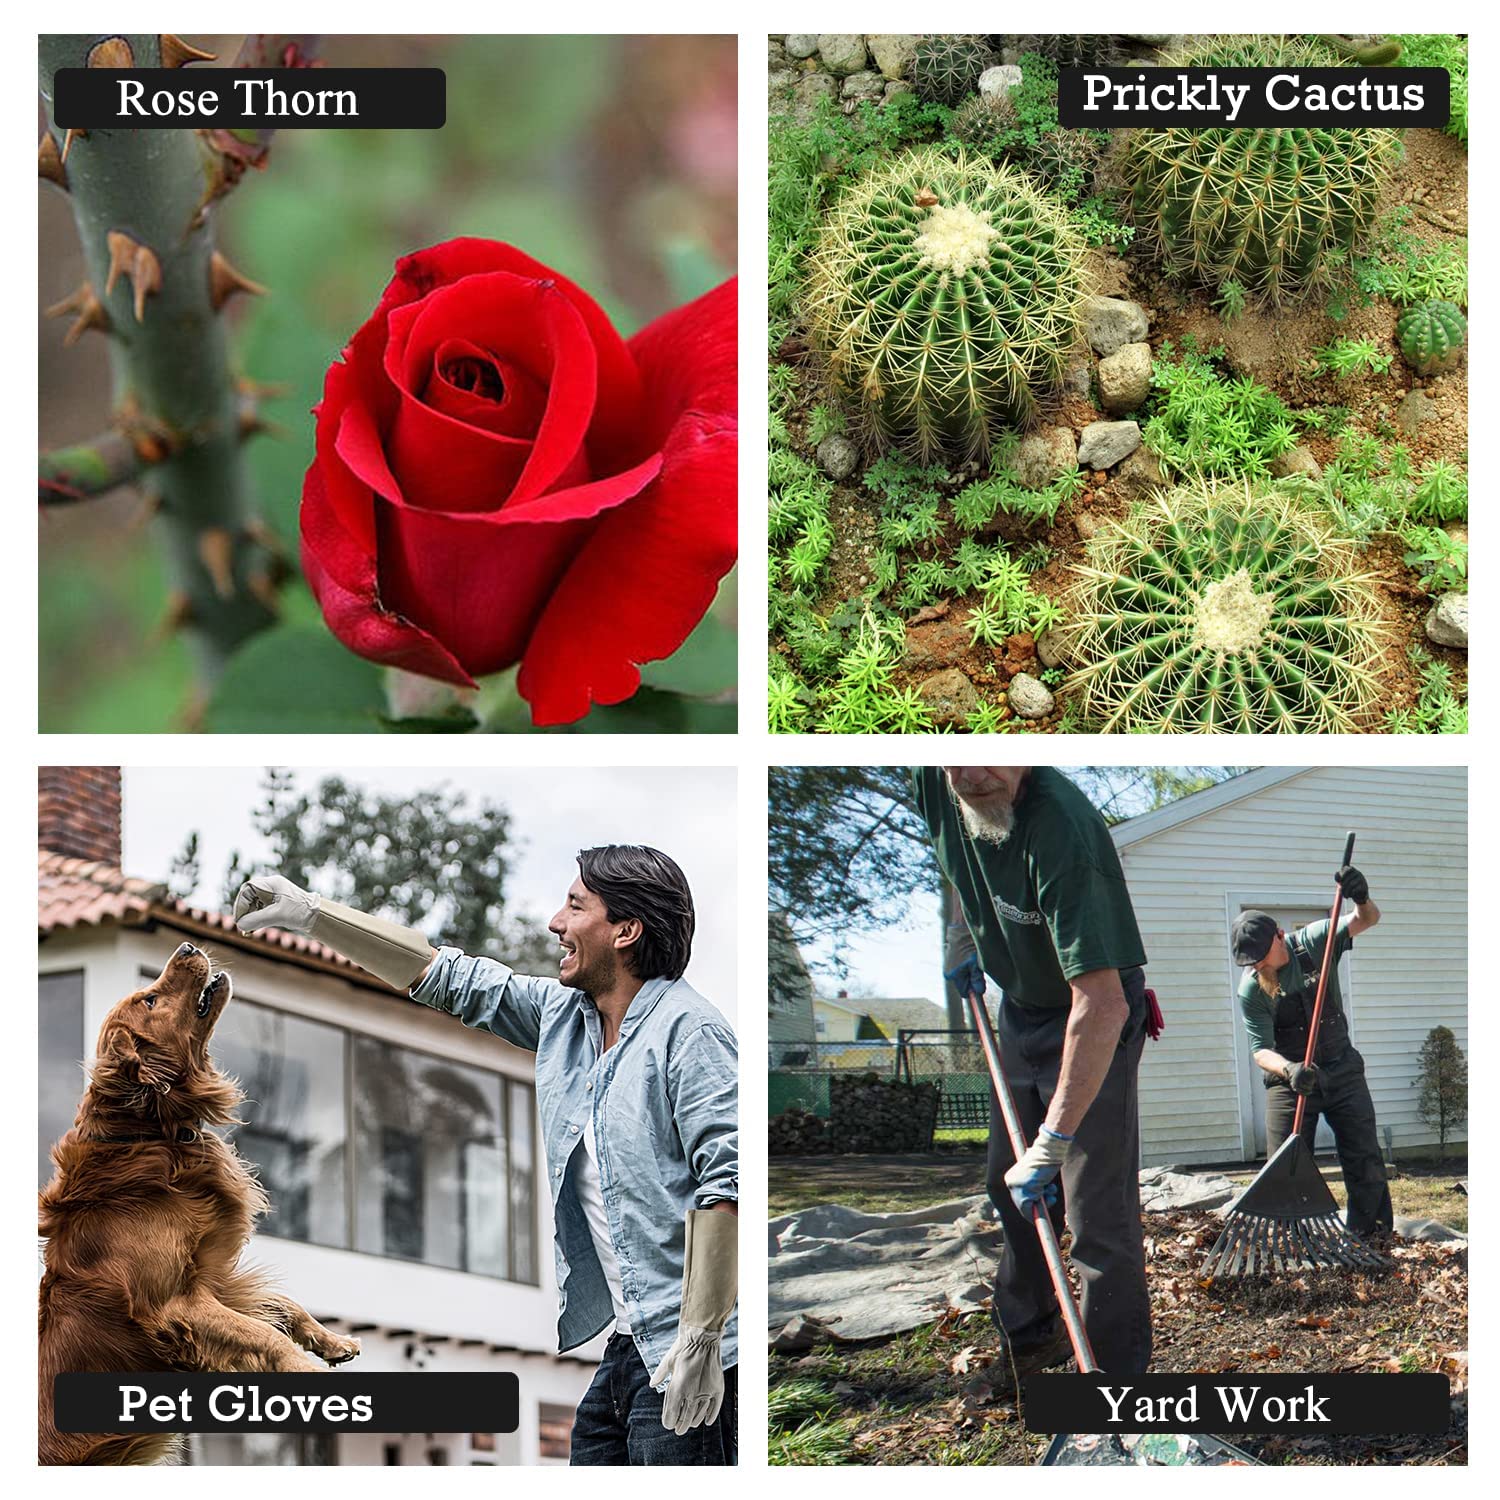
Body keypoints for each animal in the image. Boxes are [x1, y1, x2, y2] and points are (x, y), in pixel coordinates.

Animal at [38, 942, 360, 1458]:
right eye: (149, 1000)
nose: (187, 946)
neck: (150, 1133)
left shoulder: (212, 1280)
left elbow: (280, 1303)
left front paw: (331, 1340)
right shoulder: (176, 1305)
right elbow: (262, 1332)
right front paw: (308, 1369)